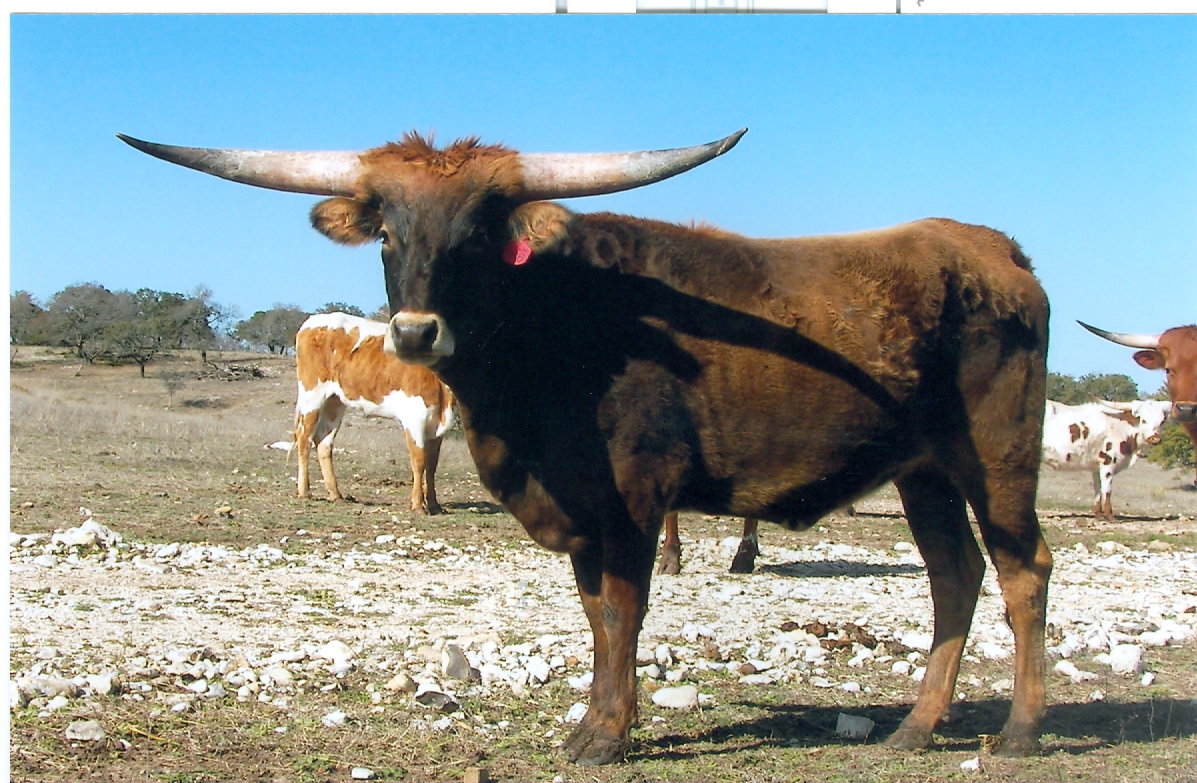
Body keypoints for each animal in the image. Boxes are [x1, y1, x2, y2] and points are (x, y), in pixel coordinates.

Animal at [294, 311, 455, 514]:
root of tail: (314, 320)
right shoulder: (415, 418)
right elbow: (419, 462)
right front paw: (418, 505)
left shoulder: (437, 425)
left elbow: (432, 465)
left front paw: (434, 504)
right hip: (312, 394)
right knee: (304, 439)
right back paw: (304, 492)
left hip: (334, 401)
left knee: (323, 442)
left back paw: (336, 495)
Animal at [1041, 398, 1171, 520]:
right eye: (1143, 420)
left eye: (1162, 421)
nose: (1155, 439)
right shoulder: (1108, 462)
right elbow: (1107, 490)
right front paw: (1110, 516)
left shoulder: (1096, 466)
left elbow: (1098, 489)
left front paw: (1098, 515)